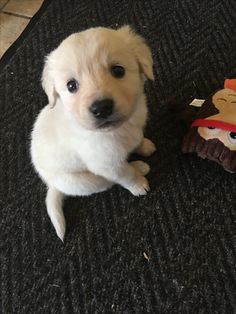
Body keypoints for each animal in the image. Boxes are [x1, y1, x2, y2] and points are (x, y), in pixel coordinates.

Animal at [30, 26, 156, 240]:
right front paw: (138, 184)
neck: (119, 129)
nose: (101, 108)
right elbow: (125, 175)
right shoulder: (106, 164)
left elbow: (137, 138)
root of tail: (53, 185)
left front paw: (144, 145)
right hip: (83, 181)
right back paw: (139, 166)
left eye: (118, 70)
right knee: (107, 182)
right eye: (71, 85)